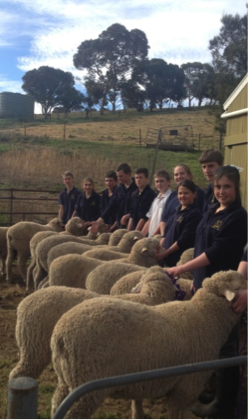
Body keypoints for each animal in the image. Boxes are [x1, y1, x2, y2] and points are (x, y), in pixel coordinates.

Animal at [50, 270, 248, 420]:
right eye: (239, 285)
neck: (206, 316)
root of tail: (60, 335)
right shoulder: (188, 385)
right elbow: (180, 414)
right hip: (85, 389)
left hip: (66, 381)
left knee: (56, 405)